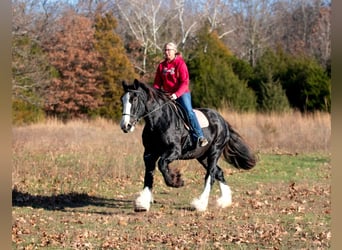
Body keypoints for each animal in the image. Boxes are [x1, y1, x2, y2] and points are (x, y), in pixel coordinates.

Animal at [121, 79, 256, 211]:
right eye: (122, 100)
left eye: (134, 99)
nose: (125, 126)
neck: (159, 121)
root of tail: (222, 120)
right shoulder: (149, 153)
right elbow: (149, 174)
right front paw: (142, 203)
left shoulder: (174, 151)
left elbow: (162, 164)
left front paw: (176, 181)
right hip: (202, 156)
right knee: (219, 172)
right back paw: (224, 201)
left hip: (215, 151)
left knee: (211, 175)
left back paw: (200, 204)